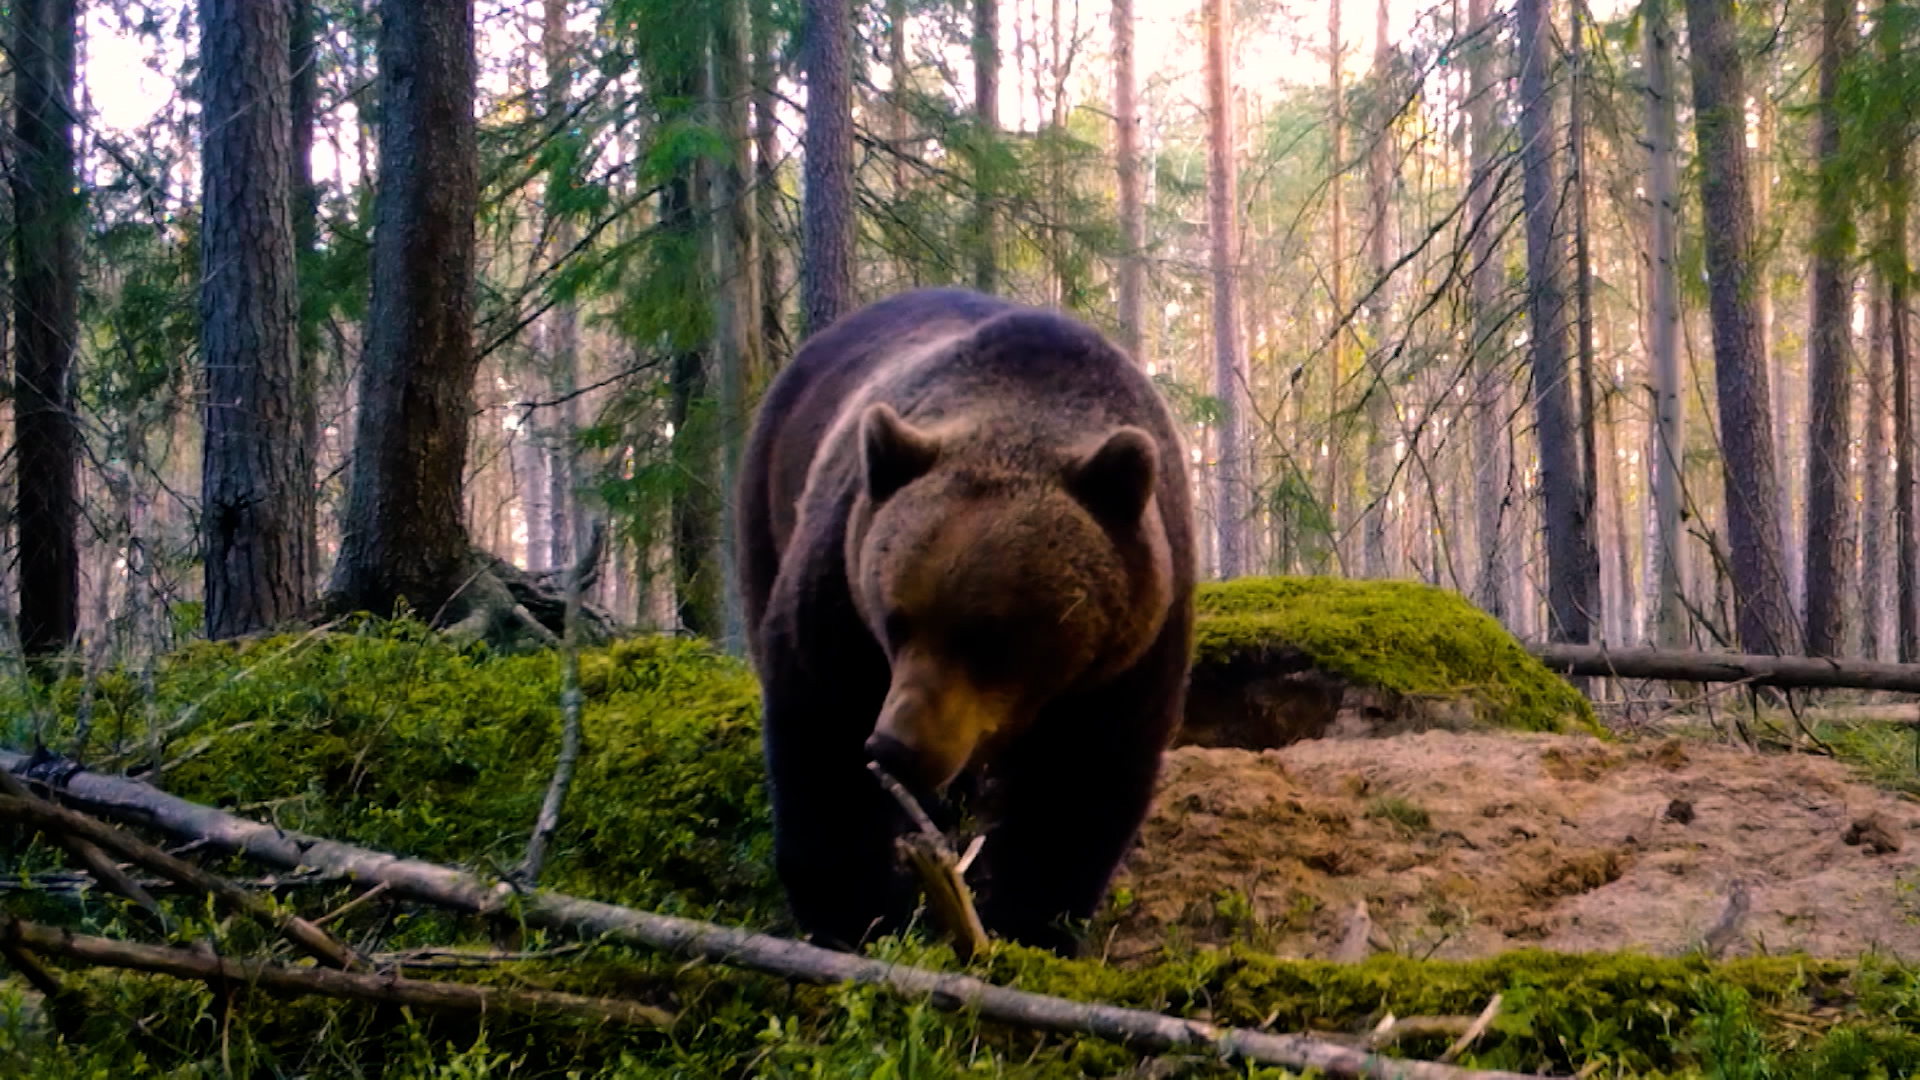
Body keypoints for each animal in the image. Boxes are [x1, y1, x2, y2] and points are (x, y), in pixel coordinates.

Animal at [729, 288, 1190, 949]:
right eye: (895, 618)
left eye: (991, 637)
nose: (898, 745)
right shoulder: (840, 580)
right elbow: (820, 723)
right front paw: (856, 911)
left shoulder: (1130, 652)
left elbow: (1083, 781)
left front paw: (1030, 921)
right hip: (768, 491)